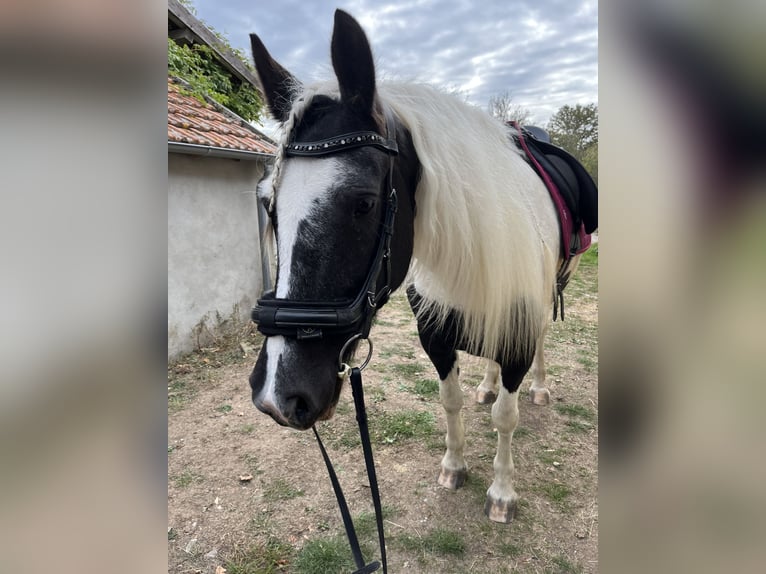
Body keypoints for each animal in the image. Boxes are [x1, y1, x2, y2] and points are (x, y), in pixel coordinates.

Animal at [248, 9, 591, 523]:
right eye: (269, 204)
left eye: (365, 204)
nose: (277, 396)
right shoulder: (436, 335)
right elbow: (450, 400)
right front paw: (454, 465)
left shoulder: (519, 332)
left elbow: (505, 417)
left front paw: (501, 493)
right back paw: (486, 386)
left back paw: (541, 388)